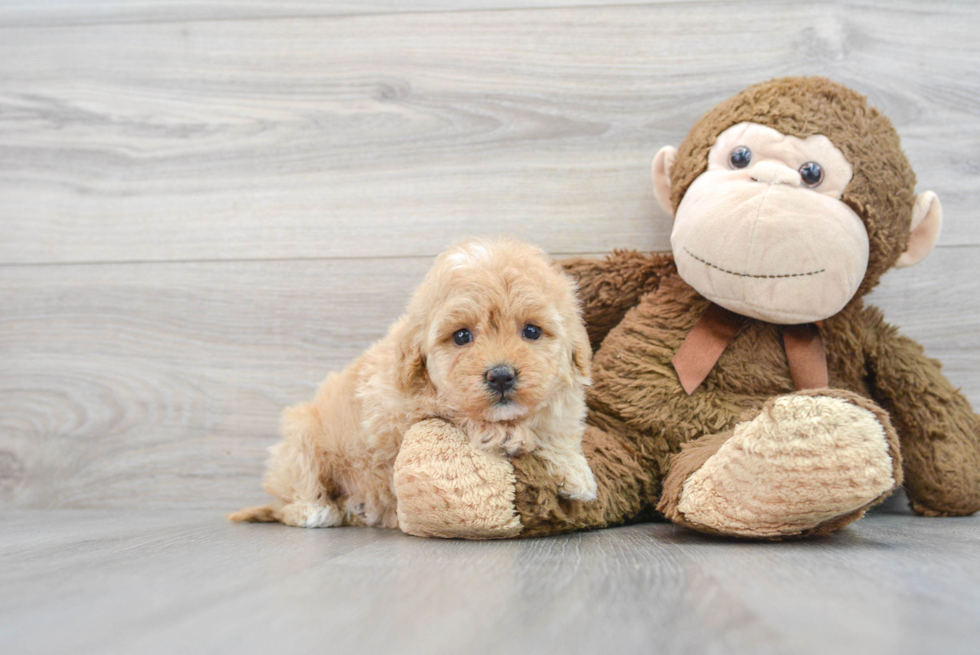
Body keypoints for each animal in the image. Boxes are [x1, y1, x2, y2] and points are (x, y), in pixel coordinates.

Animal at [231, 236, 596, 528]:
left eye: (532, 331)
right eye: (461, 336)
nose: (501, 375)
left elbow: (557, 430)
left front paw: (576, 472)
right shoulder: (392, 413)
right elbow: (450, 410)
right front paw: (504, 433)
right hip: (300, 438)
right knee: (294, 492)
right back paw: (314, 511)